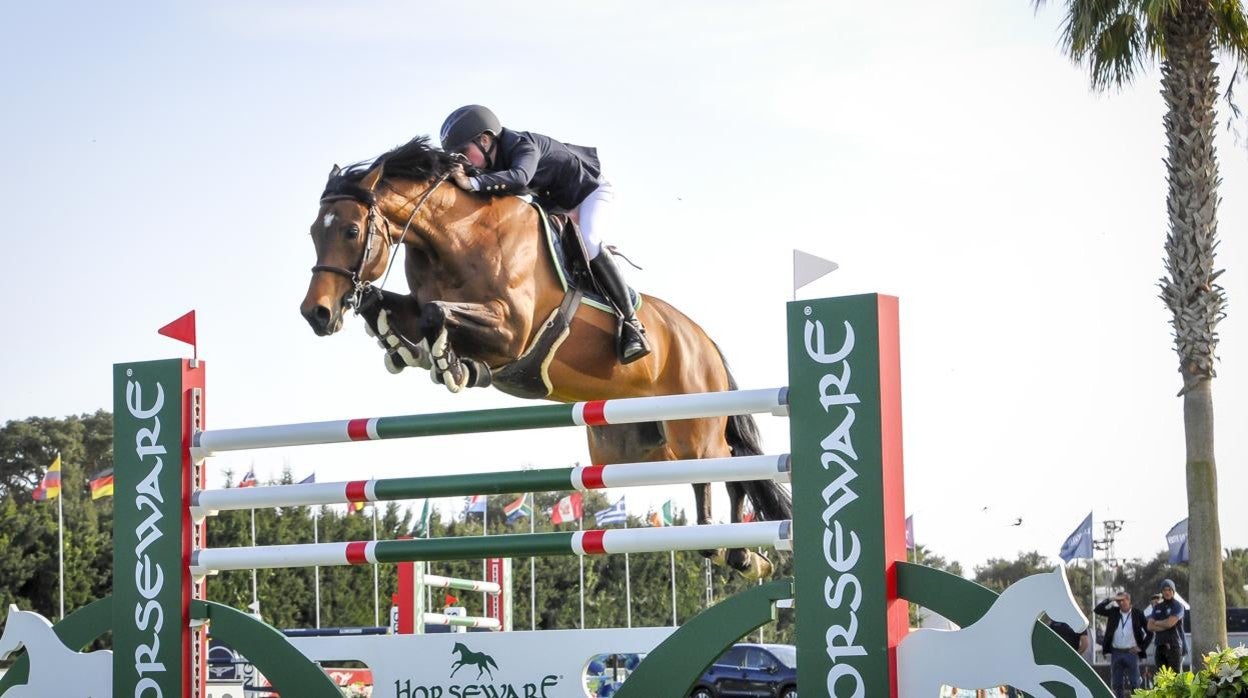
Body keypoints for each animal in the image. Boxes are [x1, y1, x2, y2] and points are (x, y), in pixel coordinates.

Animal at [299, 136, 788, 579]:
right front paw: (410, 347)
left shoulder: (512, 331)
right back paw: (727, 549)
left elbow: (438, 313)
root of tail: (705, 341)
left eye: (351, 231)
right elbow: (402, 308)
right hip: (637, 448)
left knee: (731, 462)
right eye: (313, 232)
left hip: (695, 426)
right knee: (702, 477)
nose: (315, 314)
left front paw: (453, 365)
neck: (457, 236)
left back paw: (742, 553)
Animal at [898, 569, 1093, 698]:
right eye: (1063, 598)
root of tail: (900, 646)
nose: (1083, 624)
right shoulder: (1022, 679)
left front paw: (1084, 693)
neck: (1005, 632)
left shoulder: (1030, 672)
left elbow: (1062, 672)